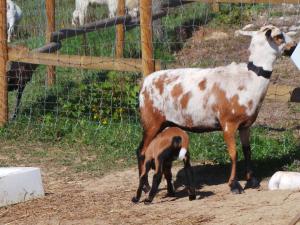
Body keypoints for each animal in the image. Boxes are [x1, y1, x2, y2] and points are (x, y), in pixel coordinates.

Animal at [137, 24, 296, 193]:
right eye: (279, 36)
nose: (294, 46)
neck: (250, 79)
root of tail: (144, 83)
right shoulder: (228, 124)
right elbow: (234, 153)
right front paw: (234, 185)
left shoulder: (245, 125)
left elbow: (247, 151)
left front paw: (252, 180)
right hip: (151, 121)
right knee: (141, 152)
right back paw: (146, 187)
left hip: (165, 123)